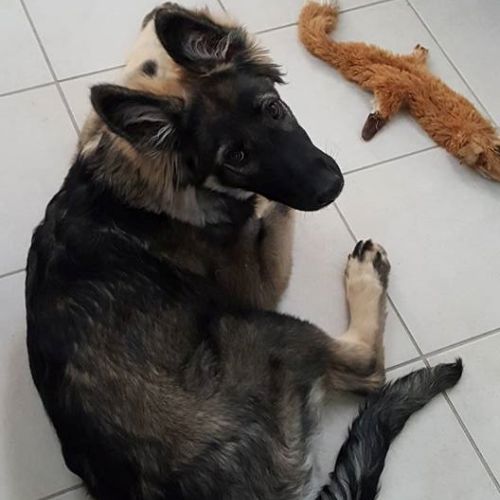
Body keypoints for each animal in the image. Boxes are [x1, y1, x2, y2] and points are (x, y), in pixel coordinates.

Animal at [26, 3, 462, 499]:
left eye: (273, 109)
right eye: (235, 157)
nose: (332, 187)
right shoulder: (258, 282)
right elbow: (272, 210)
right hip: (257, 326)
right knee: (366, 367)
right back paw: (365, 276)